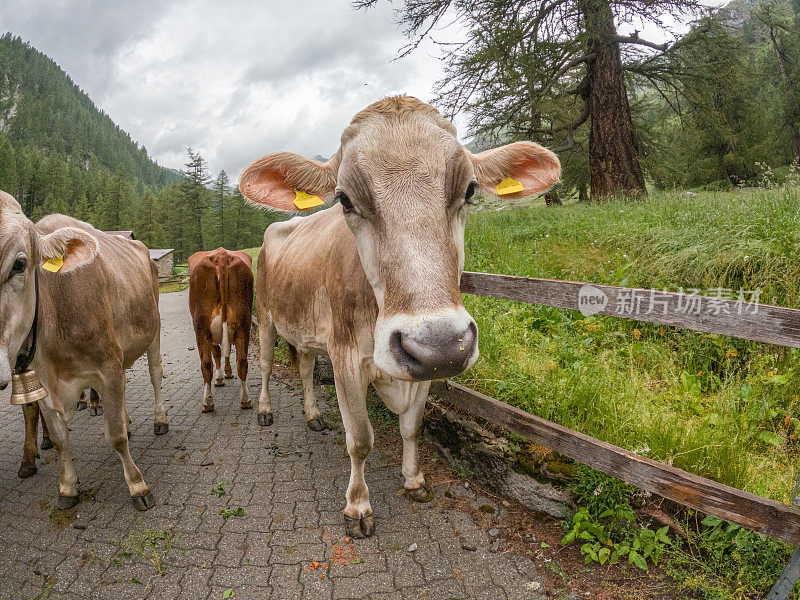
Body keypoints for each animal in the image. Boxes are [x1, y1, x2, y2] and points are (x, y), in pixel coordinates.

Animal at [0, 190, 167, 508]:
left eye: (19, 264)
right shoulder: (42, 382)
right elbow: (59, 437)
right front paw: (67, 487)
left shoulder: (107, 367)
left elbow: (115, 436)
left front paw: (138, 486)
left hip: (153, 331)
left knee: (155, 376)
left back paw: (160, 420)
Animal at [188, 246, 253, 410]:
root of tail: (221, 255)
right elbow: (226, 351)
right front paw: (227, 373)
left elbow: (217, 353)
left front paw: (220, 378)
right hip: (244, 324)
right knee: (242, 360)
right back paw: (246, 400)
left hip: (201, 328)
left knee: (206, 363)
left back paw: (207, 402)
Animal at [241, 96, 560, 536]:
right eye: (344, 199)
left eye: (470, 190)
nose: (440, 343)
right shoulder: (345, 355)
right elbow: (360, 438)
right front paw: (358, 506)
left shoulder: (425, 365)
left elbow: (412, 426)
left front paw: (414, 480)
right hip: (268, 318)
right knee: (268, 365)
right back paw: (265, 411)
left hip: (305, 329)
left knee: (304, 368)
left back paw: (314, 415)